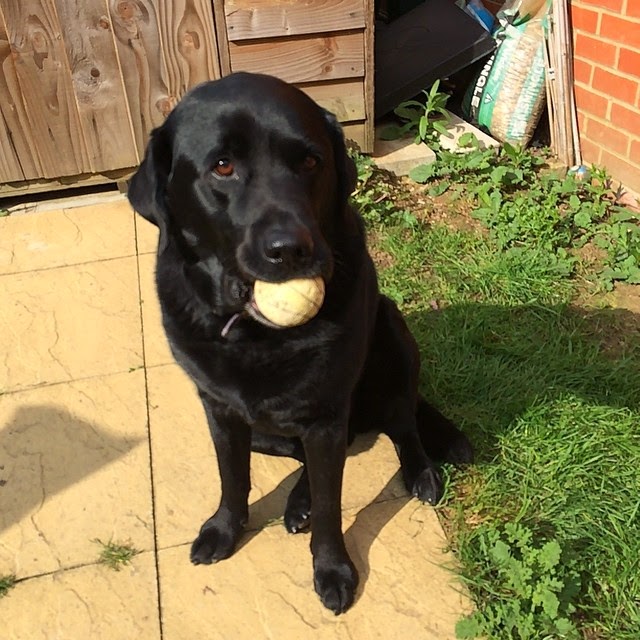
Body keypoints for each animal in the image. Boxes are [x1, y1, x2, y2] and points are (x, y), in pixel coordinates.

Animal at [128, 72, 473, 615]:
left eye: (310, 162)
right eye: (222, 166)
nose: (291, 249)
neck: (255, 334)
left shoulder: (326, 416)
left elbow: (333, 506)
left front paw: (332, 569)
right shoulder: (219, 411)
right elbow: (233, 477)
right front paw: (224, 529)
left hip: (393, 335)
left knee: (403, 424)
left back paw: (419, 473)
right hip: (272, 428)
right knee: (302, 456)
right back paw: (298, 501)